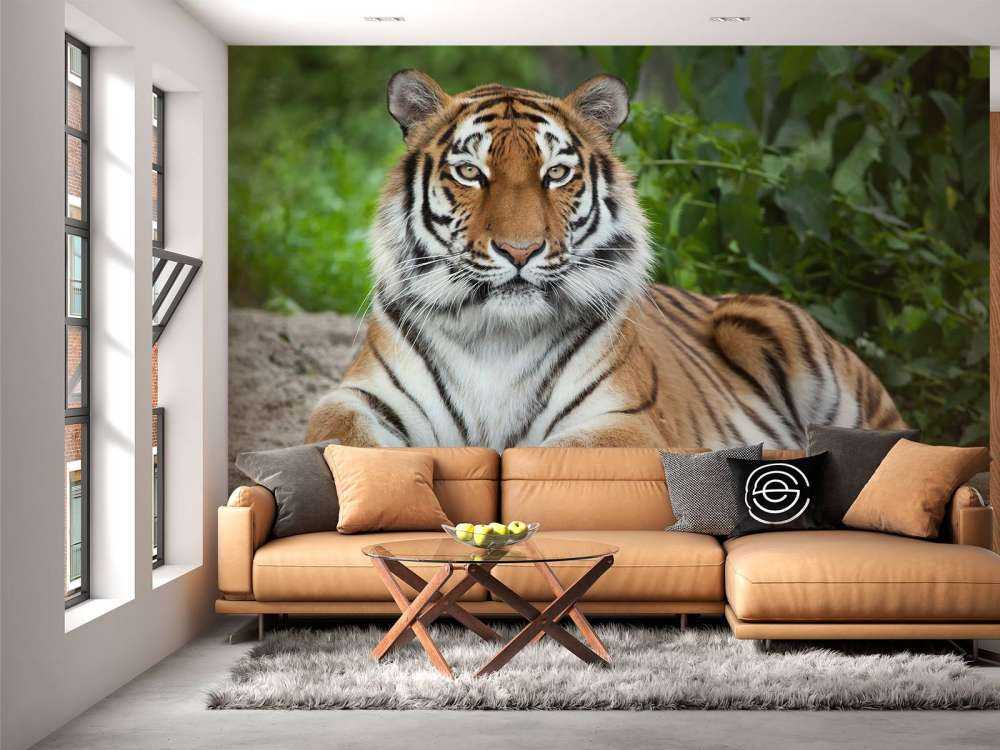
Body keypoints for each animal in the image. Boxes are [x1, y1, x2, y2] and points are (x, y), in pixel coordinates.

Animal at [305, 70, 905, 451]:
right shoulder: (359, 399)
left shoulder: (622, 421)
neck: (497, 335)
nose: (520, 251)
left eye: (556, 174)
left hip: (773, 327)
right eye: (471, 173)